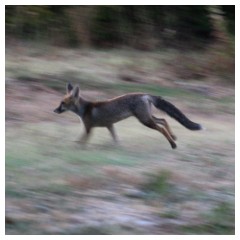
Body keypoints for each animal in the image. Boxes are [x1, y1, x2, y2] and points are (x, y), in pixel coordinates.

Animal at [53, 83, 202, 149]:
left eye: (62, 103)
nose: (54, 110)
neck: (84, 109)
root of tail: (145, 94)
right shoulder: (110, 125)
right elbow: (116, 139)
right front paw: (118, 148)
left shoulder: (88, 128)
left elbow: (80, 141)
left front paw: (76, 148)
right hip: (147, 117)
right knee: (164, 120)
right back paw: (174, 137)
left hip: (145, 120)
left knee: (161, 128)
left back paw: (173, 144)